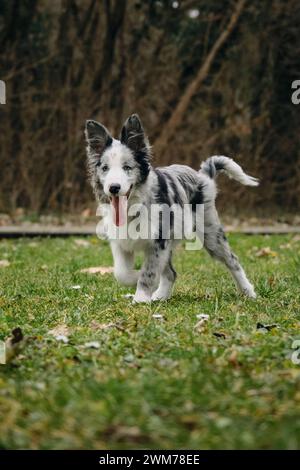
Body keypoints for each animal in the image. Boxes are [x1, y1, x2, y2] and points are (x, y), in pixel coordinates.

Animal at [84, 115, 258, 302]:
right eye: (105, 168)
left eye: (127, 167)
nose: (114, 188)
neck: (134, 206)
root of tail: (203, 177)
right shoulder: (121, 242)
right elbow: (121, 273)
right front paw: (137, 280)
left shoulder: (158, 241)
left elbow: (149, 271)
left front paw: (140, 298)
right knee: (171, 273)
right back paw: (160, 296)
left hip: (211, 233)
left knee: (232, 260)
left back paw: (248, 291)